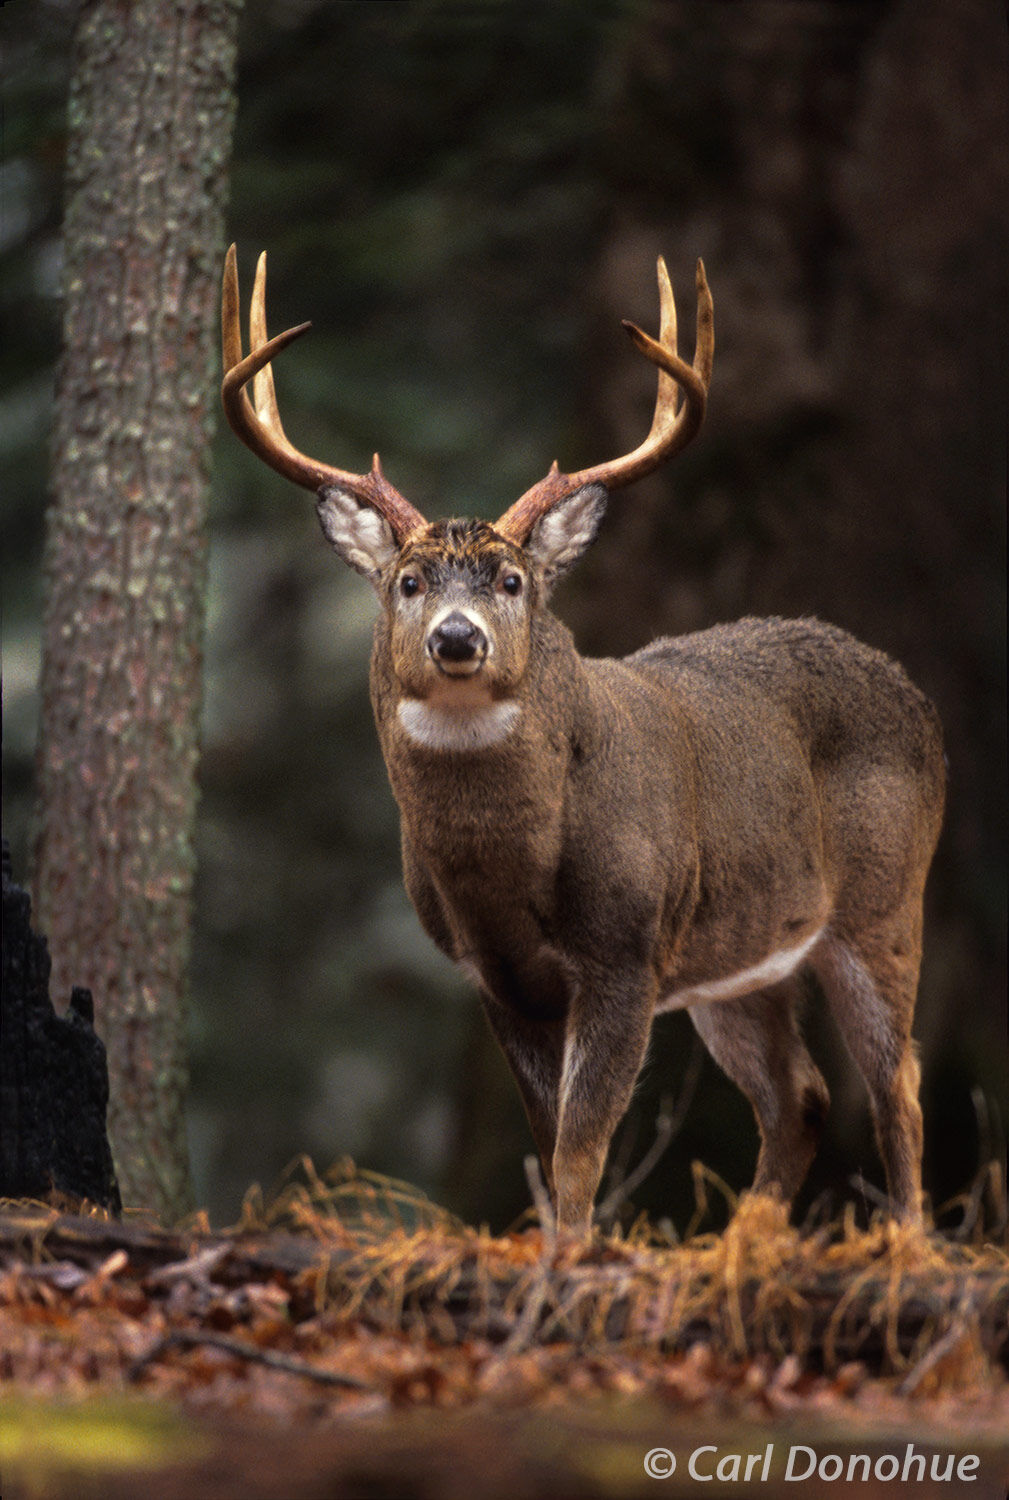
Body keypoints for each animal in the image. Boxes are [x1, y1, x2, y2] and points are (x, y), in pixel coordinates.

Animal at [220, 243, 947, 1230]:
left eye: (512, 580)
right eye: (409, 582)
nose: (458, 638)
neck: (506, 866)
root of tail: (916, 699)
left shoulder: (624, 949)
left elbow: (578, 1151)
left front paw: (571, 1253)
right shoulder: (494, 975)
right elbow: (548, 1137)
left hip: (882, 898)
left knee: (897, 1085)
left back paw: (905, 1243)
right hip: (739, 951)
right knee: (799, 1097)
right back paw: (742, 1244)